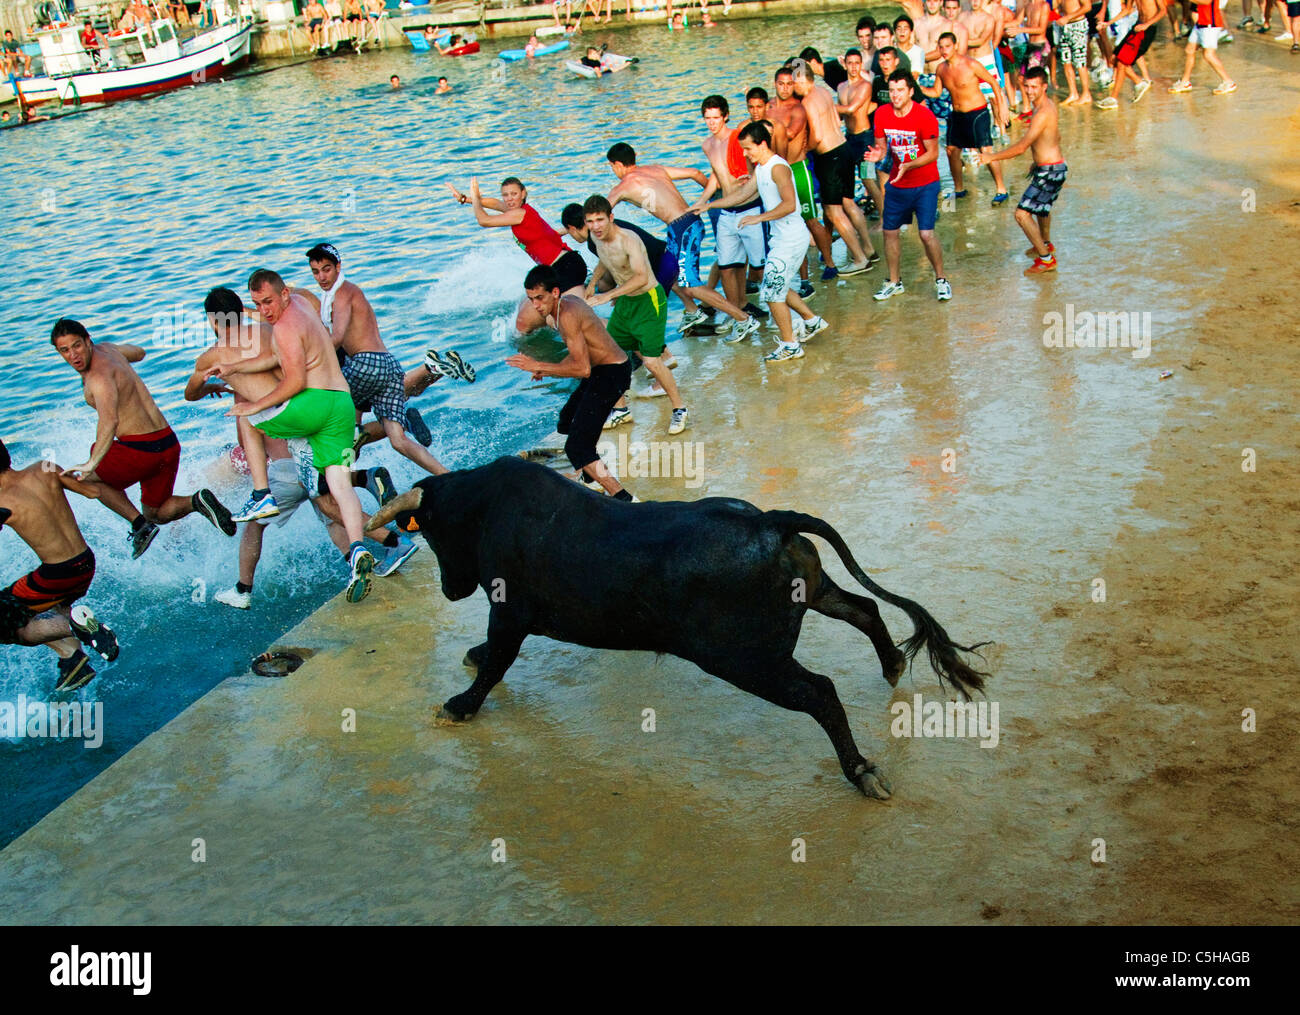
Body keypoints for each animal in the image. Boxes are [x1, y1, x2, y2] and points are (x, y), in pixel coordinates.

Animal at [371, 454, 987, 795]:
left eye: (429, 531)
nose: (450, 590)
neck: (484, 506)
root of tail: (770, 521)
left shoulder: (509, 612)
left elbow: (498, 660)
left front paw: (459, 706)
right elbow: (492, 655)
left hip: (747, 660)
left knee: (820, 692)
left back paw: (860, 771)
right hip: (809, 594)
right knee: (864, 610)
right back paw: (891, 666)